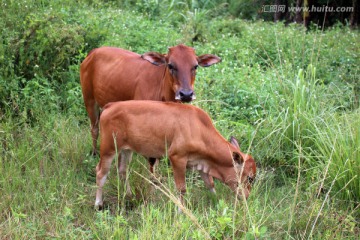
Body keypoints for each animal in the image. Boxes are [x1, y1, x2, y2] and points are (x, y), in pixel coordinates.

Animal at [79, 44, 219, 156]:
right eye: (170, 65)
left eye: (195, 66)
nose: (186, 94)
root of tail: (93, 52)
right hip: (89, 99)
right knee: (94, 128)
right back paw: (94, 153)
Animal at [93, 101, 256, 210]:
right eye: (250, 178)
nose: (247, 196)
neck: (200, 130)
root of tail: (110, 106)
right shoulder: (177, 158)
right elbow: (182, 189)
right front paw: (180, 211)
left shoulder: (201, 162)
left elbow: (210, 183)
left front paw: (216, 202)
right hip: (108, 149)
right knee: (101, 173)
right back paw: (98, 204)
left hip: (127, 150)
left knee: (122, 170)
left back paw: (129, 196)